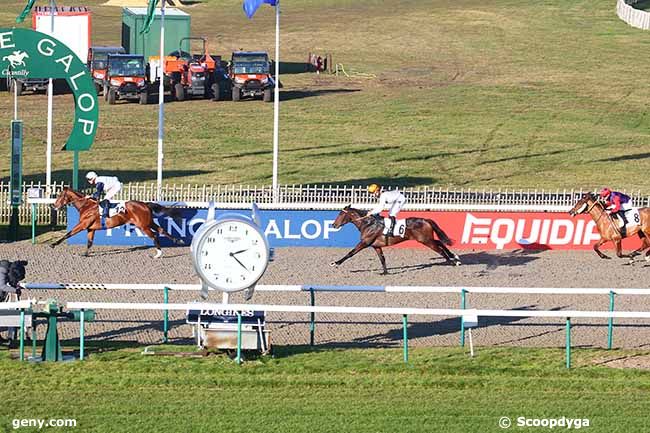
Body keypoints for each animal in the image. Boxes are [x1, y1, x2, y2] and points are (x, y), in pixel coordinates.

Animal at [48, 186, 182, 256]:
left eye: (60, 196)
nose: (54, 206)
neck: (86, 206)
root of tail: (145, 204)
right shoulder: (90, 228)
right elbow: (89, 242)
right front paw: (85, 254)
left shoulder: (83, 224)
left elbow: (68, 234)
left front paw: (53, 244)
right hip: (148, 222)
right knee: (161, 230)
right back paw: (177, 240)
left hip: (143, 226)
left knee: (154, 235)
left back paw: (158, 254)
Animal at [326, 206, 458, 274]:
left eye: (340, 214)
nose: (334, 225)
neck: (367, 223)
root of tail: (425, 220)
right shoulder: (376, 246)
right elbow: (382, 258)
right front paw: (385, 272)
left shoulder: (365, 243)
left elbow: (351, 253)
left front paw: (335, 263)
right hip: (426, 239)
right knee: (440, 242)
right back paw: (454, 256)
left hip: (425, 240)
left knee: (440, 249)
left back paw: (452, 262)